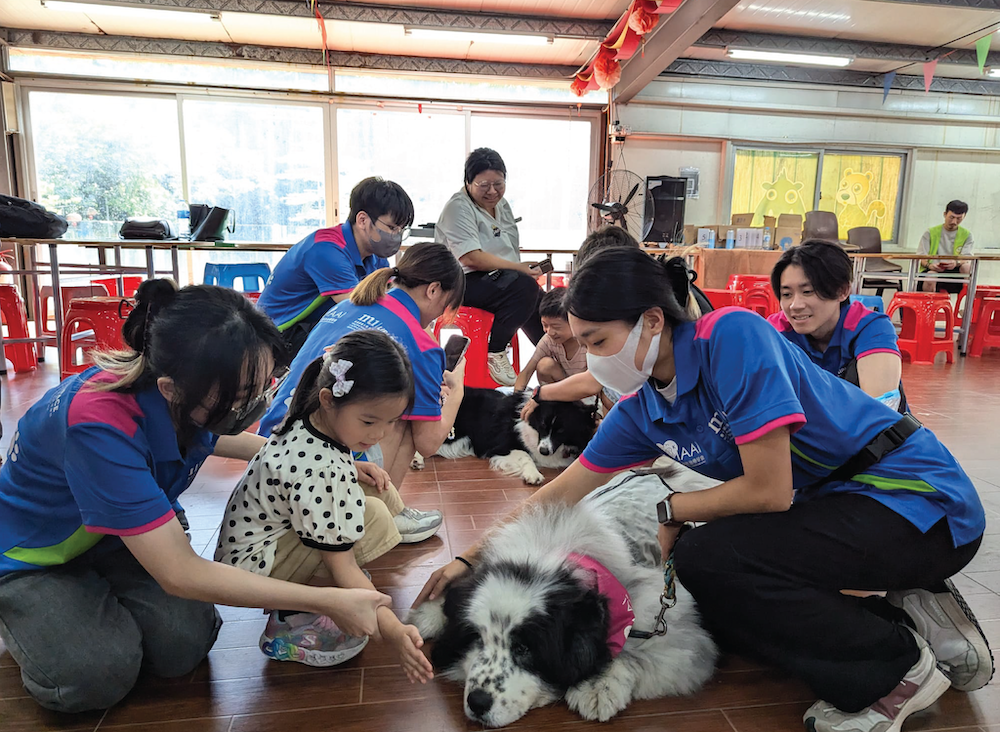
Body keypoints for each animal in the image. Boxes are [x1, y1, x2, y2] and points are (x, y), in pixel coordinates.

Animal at [406, 468, 720, 728]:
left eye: (524, 648)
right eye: (476, 639)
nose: (477, 702)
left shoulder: (676, 632)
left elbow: (628, 653)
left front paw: (597, 687)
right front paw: (427, 613)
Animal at [412, 388, 596, 486]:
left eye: (562, 431)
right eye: (543, 425)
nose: (544, 451)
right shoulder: (500, 446)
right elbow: (525, 455)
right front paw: (533, 474)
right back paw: (416, 460)